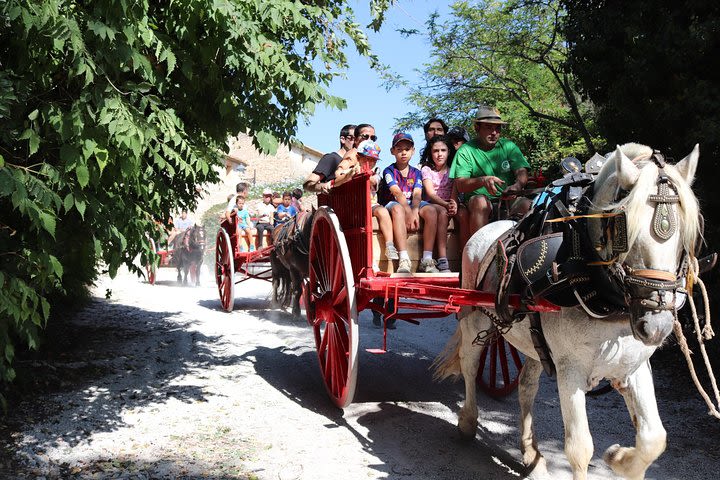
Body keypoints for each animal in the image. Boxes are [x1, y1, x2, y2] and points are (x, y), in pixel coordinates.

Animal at [436, 143, 700, 480]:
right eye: (623, 229)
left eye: (685, 237)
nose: (657, 326)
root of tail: (491, 226)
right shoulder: (569, 369)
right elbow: (579, 448)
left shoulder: (634, 365)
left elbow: (654, 438)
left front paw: (618, 458)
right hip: (474, 317)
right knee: (469, 364)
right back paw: (468, 423)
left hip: (534, 343)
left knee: (526, 386)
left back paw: (532, 455)